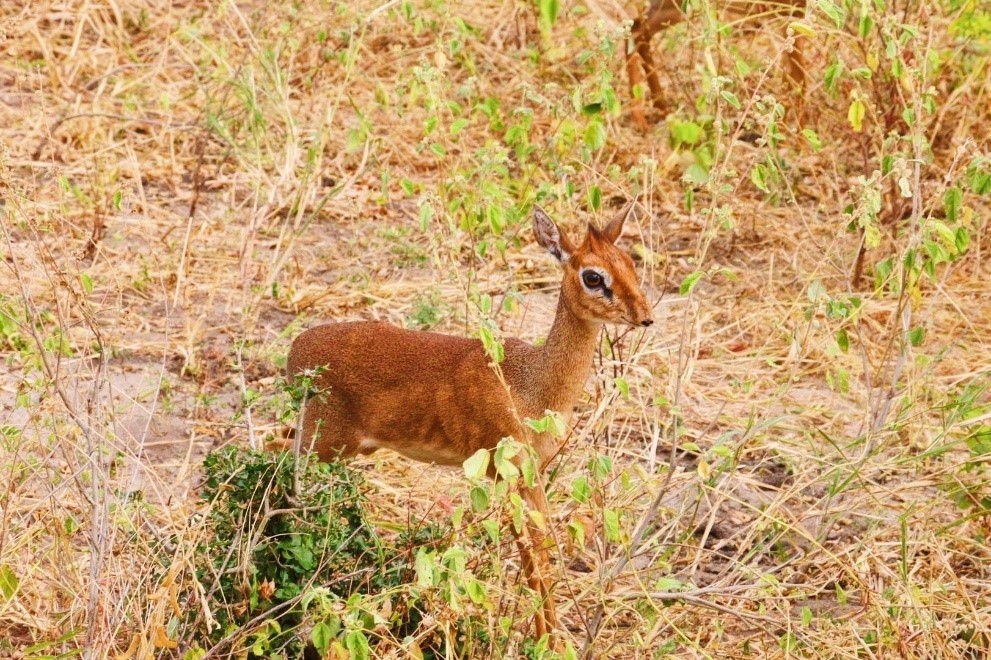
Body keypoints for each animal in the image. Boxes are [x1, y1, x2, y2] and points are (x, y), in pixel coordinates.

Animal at [286, 204, 656, 640]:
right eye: (593, 276)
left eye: (630, 262)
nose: (645, 317)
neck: (531, 384)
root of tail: (296, 351)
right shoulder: (508, 475)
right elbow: (532, 560)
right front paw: (543, 640)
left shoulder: (534, 474)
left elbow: (545, 551)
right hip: (322, 444)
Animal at [628, 0, 808, 127]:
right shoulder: (790, 17)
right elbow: (798, 82)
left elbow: (794, 82)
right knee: (636, 29)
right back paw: (640, 117)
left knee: (637, 29)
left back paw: (660, 108)